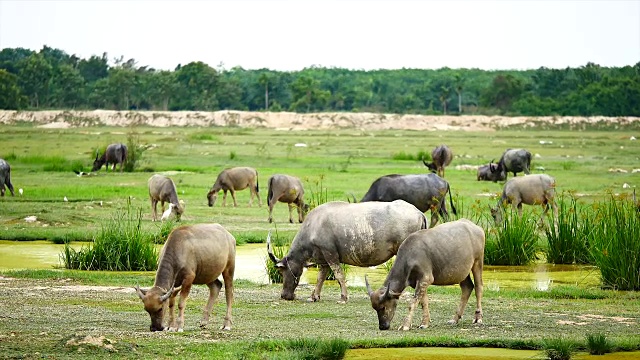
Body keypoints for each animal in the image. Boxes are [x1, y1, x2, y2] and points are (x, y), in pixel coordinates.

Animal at [268, 201, 428, 302]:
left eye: (281, 272)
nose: (284, 295)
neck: (313, 226)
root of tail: (418, 212)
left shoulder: (331, 254)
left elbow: (339, 275)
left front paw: (344, 297)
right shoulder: (324, 259)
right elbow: (321, 278)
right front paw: (315, 296)